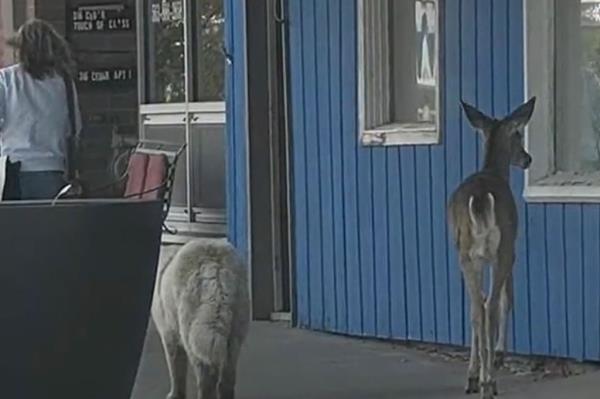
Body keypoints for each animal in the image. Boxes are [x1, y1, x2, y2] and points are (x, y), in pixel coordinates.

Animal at [152, 239, 253, 398]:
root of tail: (214, 265)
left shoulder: (169, 334)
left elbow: (175, 369)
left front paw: (175, 395)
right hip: (233, 335)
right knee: (227, 380)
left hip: (192, 336)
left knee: (206, 382)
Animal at [448, 97, 536, 399]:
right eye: (518, 134)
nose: (527, 159)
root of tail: (479, 200)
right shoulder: (512, 249)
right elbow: (508, 297)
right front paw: (497, 354)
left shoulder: (476, 257)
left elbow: (477, 305)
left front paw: (476, 372)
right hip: (502, 249)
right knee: (492, 305)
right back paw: (490, 381)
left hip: (464, 252)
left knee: (477, 307)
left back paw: (474, 378)